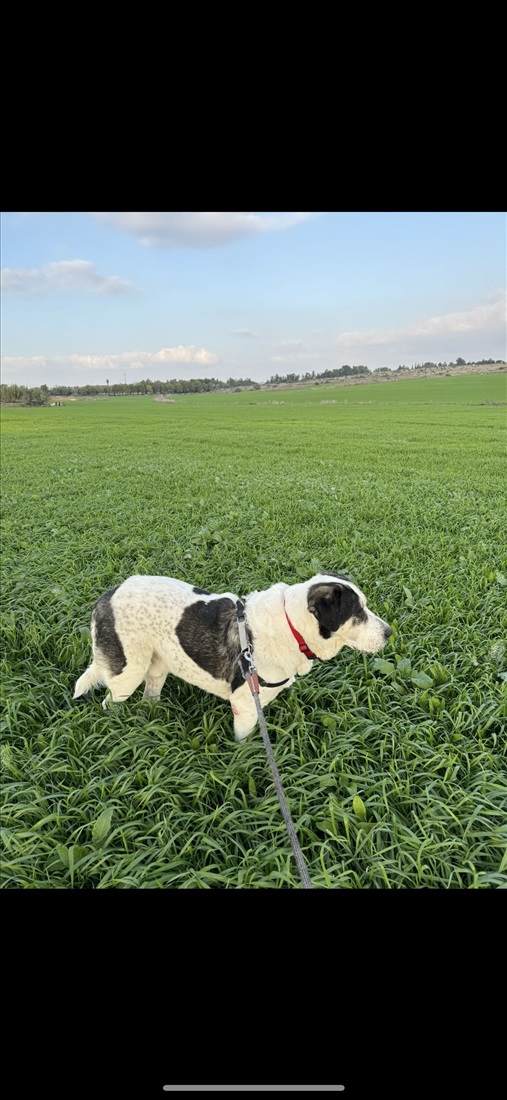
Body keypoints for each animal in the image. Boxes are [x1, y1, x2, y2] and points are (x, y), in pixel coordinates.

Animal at [72, 572, 391, 743]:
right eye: (357, 612)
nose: (390, 632)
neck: (292, 625)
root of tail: (105, 598)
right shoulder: (245, 704)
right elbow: (244, 743)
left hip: (157, 666)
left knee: (150, 698)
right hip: (128, 673)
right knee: (109, 703)